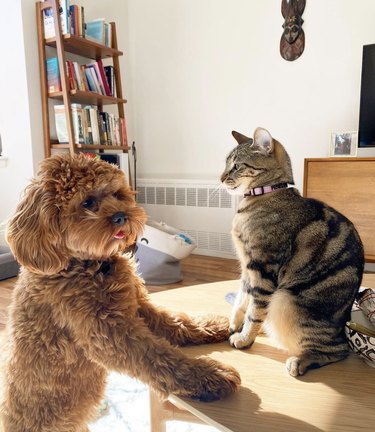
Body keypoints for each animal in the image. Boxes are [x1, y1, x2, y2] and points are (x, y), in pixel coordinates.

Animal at [0, 154, 241, 430]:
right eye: (87, 202)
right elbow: (159, 357)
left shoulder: (136, 306)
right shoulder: (109, 336)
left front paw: (214, 325)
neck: (91, 265)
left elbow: (177, 322)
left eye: (117, 193)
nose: (121, 216)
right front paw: (211, 376)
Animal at [220, 125, 364, 374]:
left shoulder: (262, 269)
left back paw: (300, 361)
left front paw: (245, 338)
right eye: (227, 164)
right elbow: (241, 300)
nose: (220, 178)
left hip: (286, 301)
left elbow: (254, 311)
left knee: (337, 350)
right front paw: (234, 324)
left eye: (236, 166)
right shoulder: (247, 267)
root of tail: (343, 328)